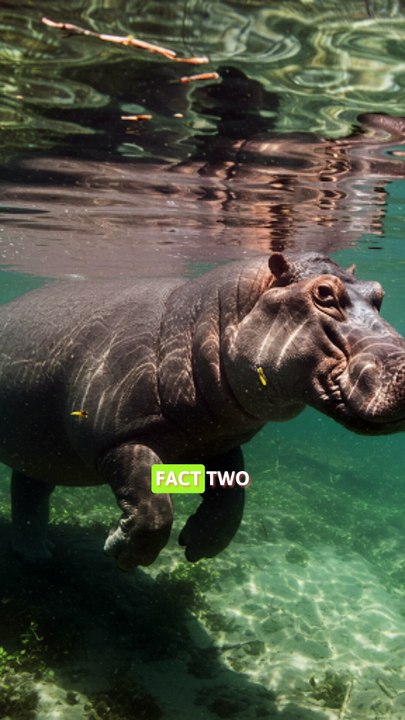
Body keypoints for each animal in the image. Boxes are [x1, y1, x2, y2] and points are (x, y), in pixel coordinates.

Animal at [1, 252, 405, 570]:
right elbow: (154, 509)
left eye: (379, 293)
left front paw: (196, 545)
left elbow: (232, 497)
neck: (204, 319)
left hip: (41, 451)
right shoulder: (118, 437)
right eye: (323, 293)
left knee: (30, 491)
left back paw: (37, 555)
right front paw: (119, 550)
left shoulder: (216, 438)